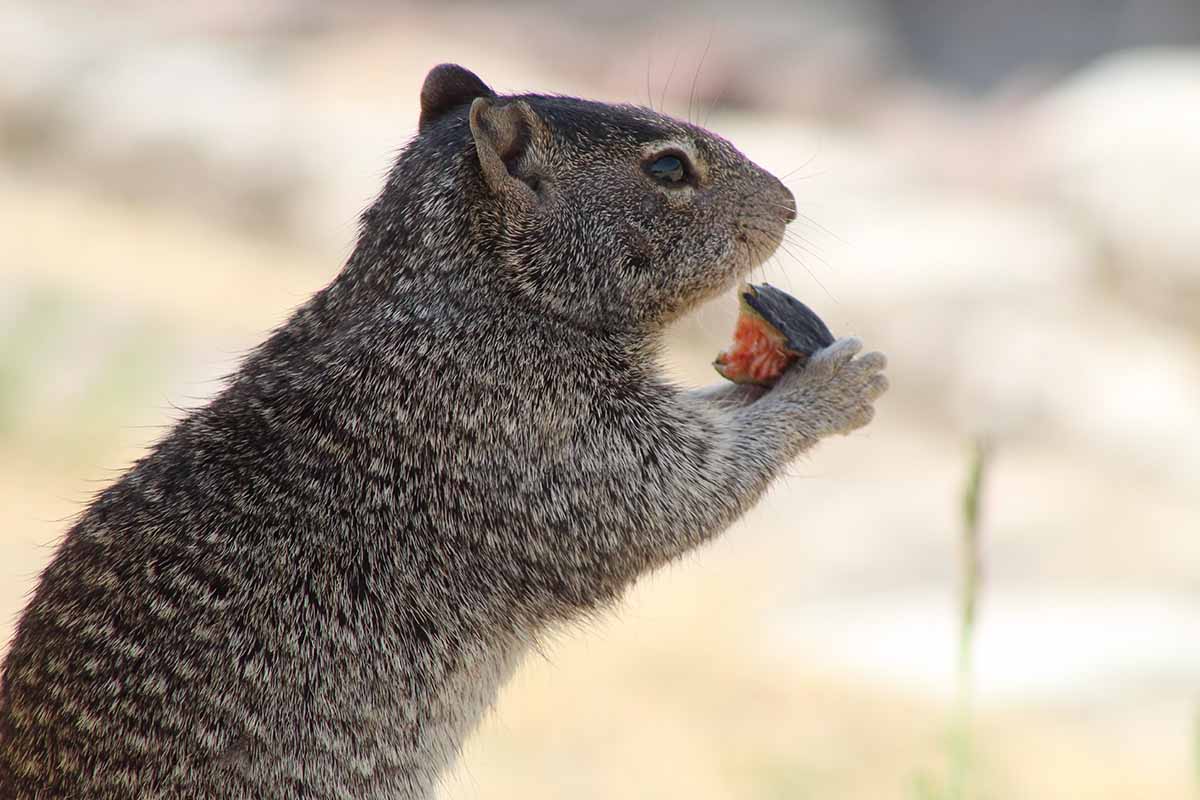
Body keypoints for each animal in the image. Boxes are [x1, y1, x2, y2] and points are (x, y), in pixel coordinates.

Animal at [0, 65, 888, 796]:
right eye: (667, 169)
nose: (789, 204)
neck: (473, 292)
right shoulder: (548, 443)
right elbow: (691, 492)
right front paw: (837, 384)